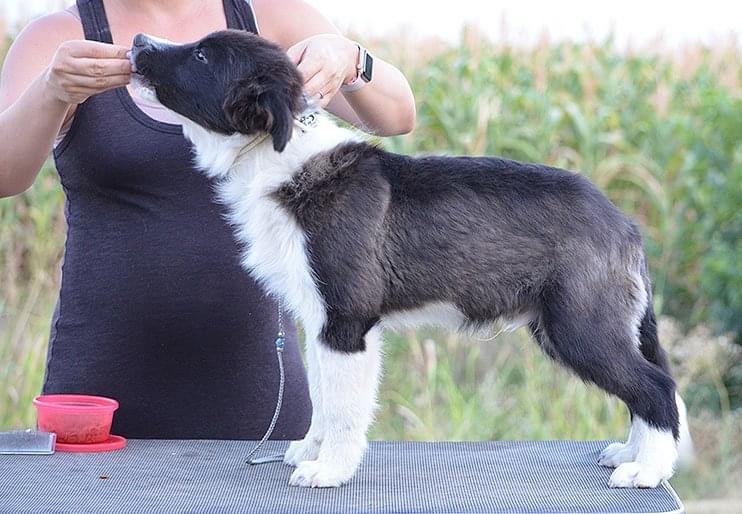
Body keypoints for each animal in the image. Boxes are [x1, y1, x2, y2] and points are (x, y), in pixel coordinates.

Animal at [130, 29, 692, 489]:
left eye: (202, 56)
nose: (137, 42)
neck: (275, 157)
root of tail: (623, 224)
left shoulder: (347, 321)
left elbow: (344, 408)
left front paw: (330, 471)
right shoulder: (319, 319)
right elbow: (322, 400)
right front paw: (311, 451)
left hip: (579, 325)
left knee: (657, 386)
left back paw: (647, 470)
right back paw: (633, 454)